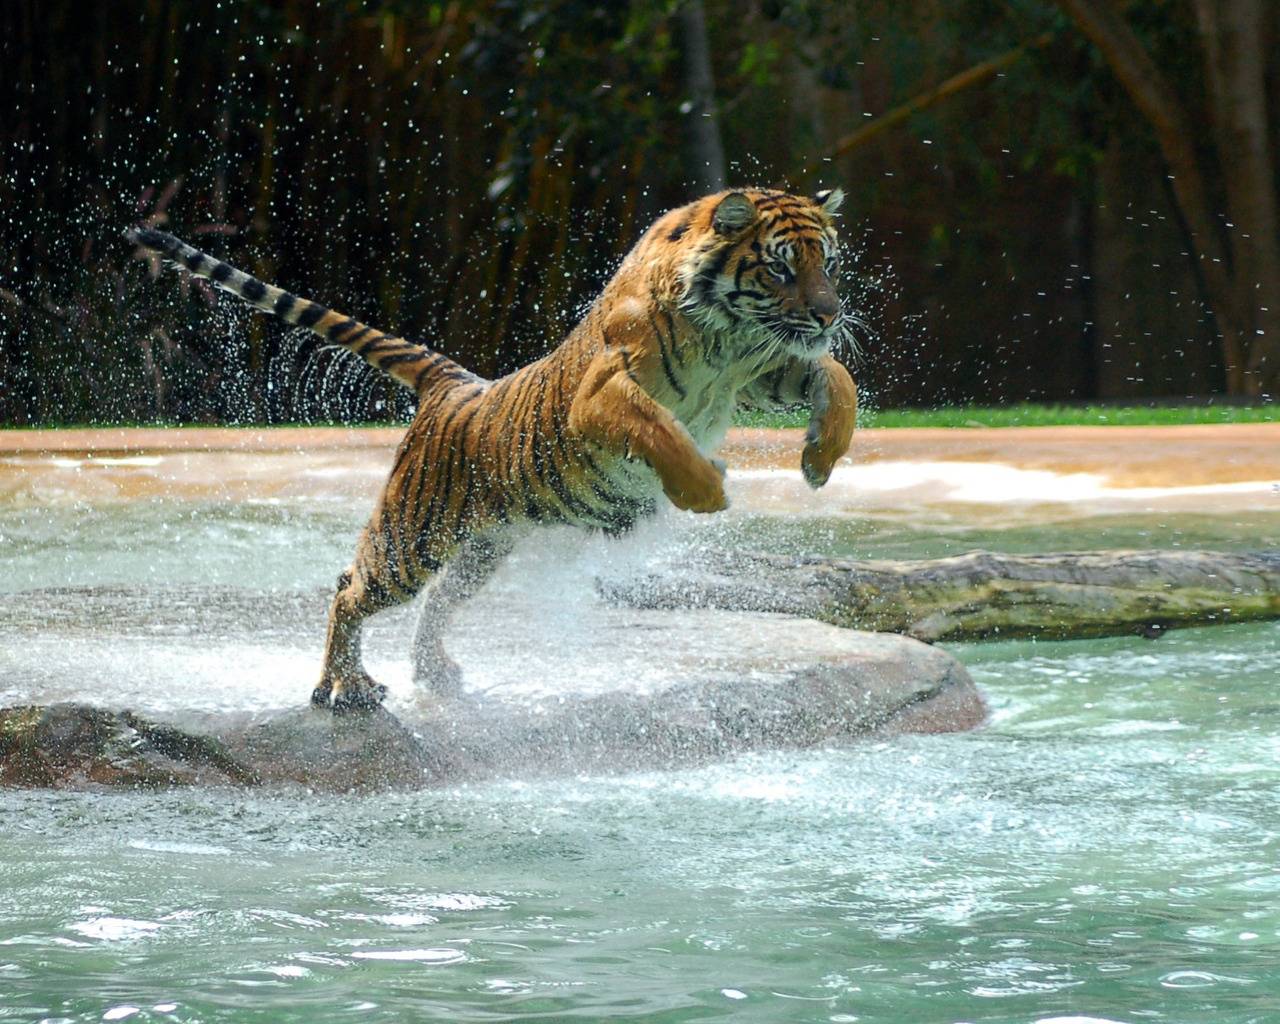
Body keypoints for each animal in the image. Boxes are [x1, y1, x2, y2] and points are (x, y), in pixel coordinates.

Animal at [128, 187, 857, 711]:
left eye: (827, 262)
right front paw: (706, 489)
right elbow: (661, 431)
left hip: (482, 546)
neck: (727, 337)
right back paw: (344, 688)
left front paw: (819, 459)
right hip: (412, 537)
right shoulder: (603, 395)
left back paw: (435, 674)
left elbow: (836, 377)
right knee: (348, 589)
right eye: (780, 267)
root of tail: (454, 383)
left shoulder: (764, 370)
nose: (830, 314)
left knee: (436, 604)